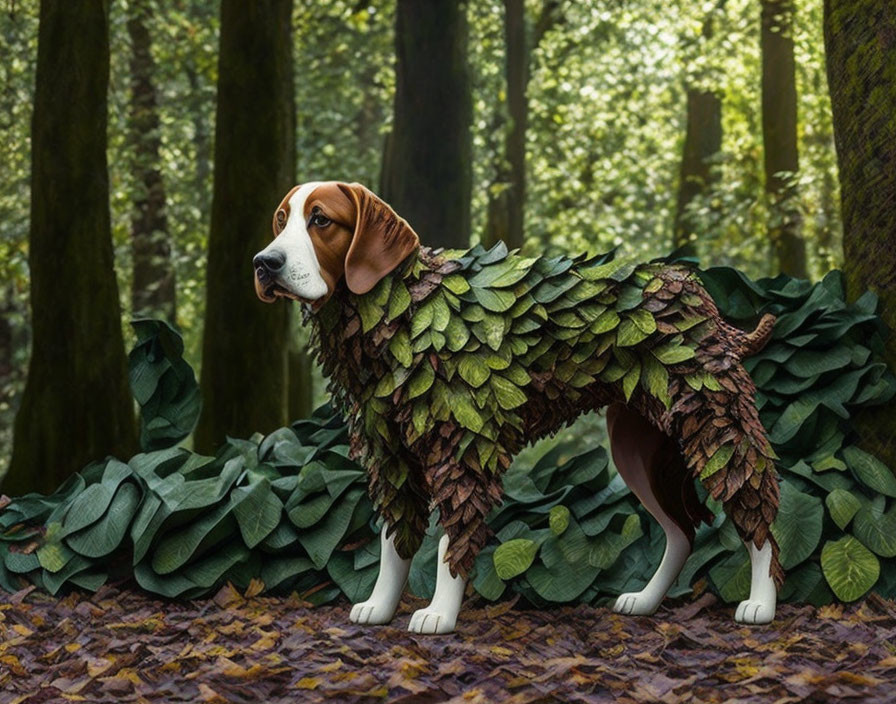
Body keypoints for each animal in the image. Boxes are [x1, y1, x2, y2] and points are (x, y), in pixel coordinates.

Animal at [254, 180, 784, 632]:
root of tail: (697, 294)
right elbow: (393, 542)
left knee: (757, 511)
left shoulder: (463, 447)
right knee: (681, 533)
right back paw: (647, 600)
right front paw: (381, 606)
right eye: (280, 219)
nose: (265, 262)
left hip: (716, 424)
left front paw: (439, 613)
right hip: (638, 449)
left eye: (321, 220)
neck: (400, 309)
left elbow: (449, 539)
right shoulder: (391, 457)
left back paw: (760, 603)